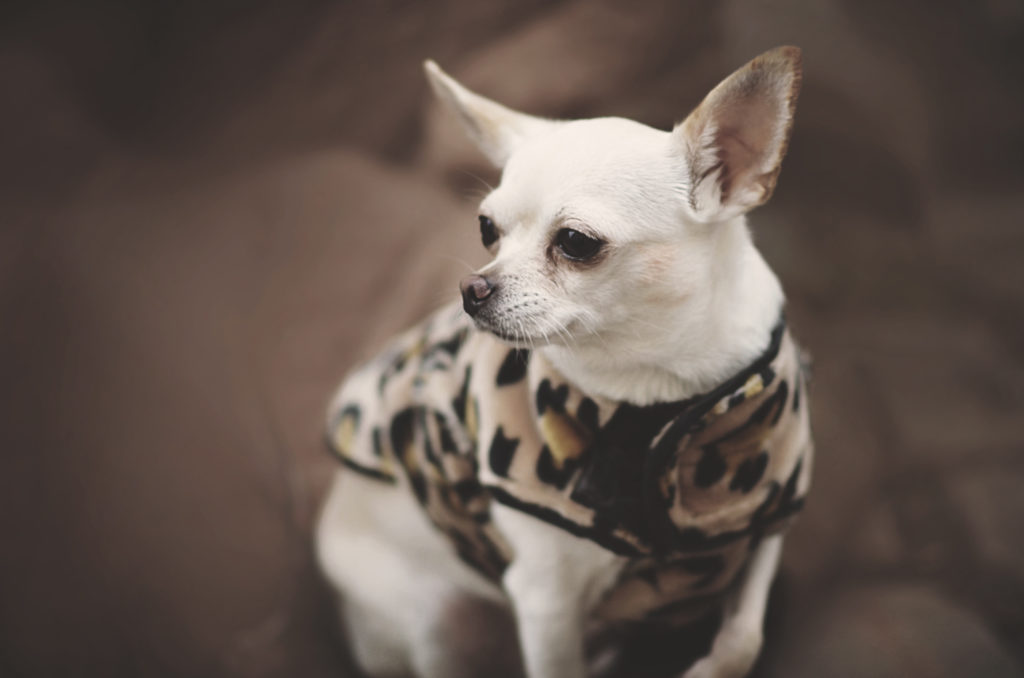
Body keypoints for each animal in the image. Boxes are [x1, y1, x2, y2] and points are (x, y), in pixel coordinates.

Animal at [316, 46, 813, 678]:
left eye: (576, 242)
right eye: (487, 229)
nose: (472, 288)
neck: (661, 393)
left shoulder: (763, 525)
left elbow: (744, 638)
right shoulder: (546, 602)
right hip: (437, 624)